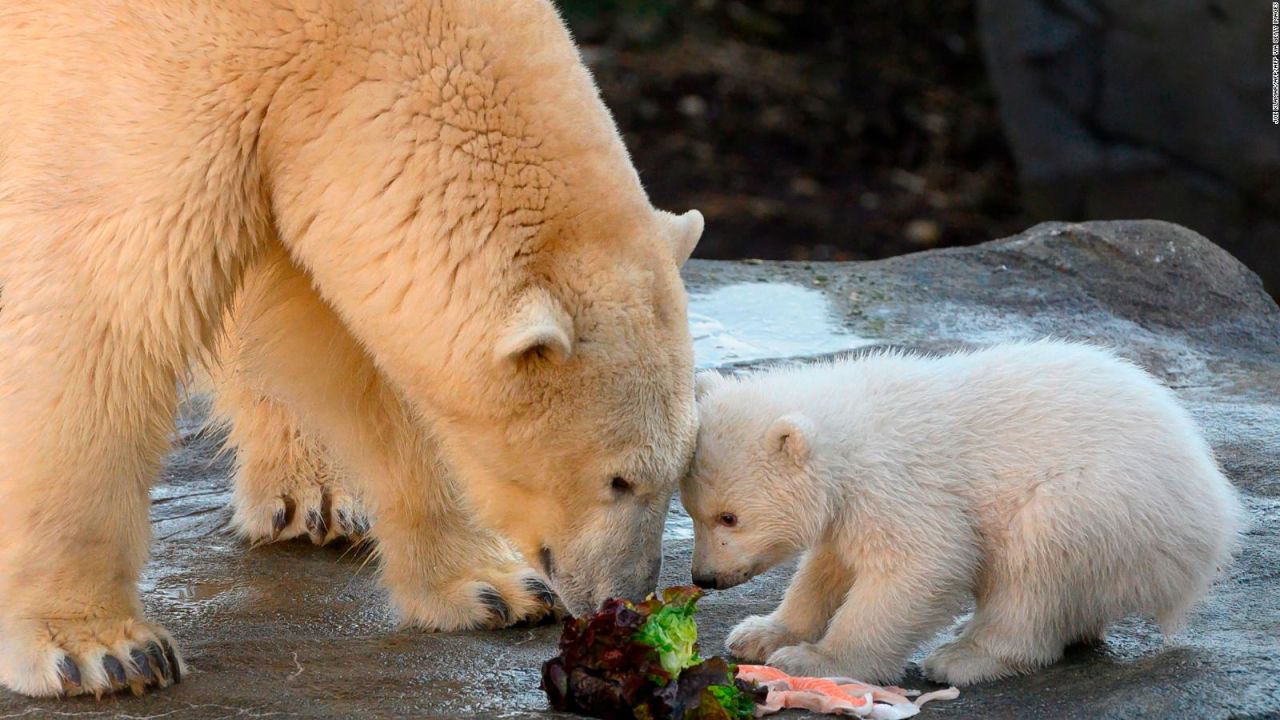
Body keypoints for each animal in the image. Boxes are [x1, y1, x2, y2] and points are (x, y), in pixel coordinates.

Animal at [0, 0, 701, 696]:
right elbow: (99, 331)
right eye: (618, 479)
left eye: (679, 471)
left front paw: (498, 589)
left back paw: (312, 496)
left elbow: (351, 353)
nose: (626, 596)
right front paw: (102, 650)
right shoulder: (144, 94)